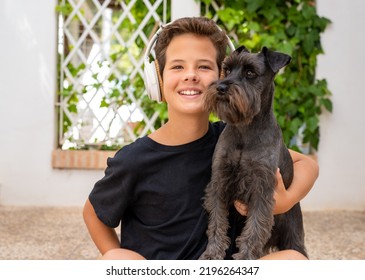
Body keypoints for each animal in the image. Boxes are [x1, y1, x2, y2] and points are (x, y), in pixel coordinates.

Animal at [200, 46, 306, 260]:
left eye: (250, 73)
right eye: (227, 69)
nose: (220, 87)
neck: (245, 131)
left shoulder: (261, 188)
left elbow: (255, 227)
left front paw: (246, 257)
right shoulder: (220, 181)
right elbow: (217, 222)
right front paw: (212, 253)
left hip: (293, 237)